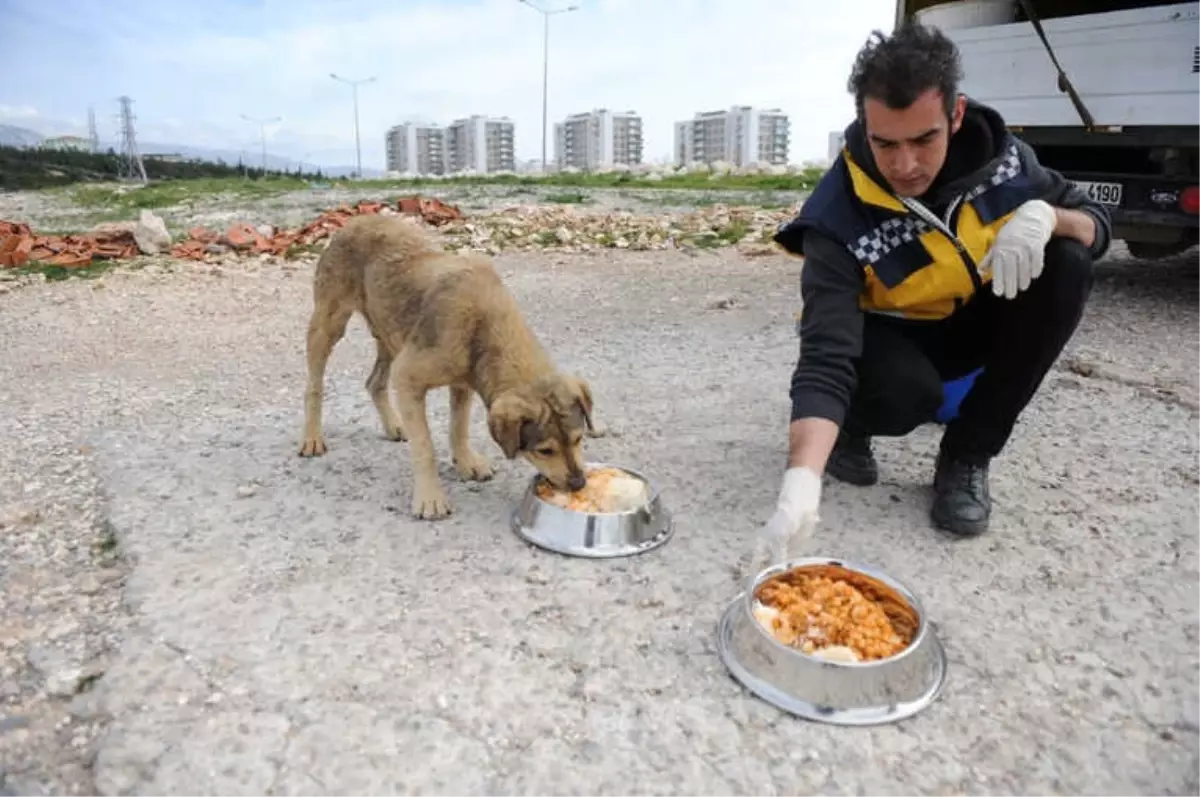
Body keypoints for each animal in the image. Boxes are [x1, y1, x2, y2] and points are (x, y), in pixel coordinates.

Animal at [296, 214, 595, 520]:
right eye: (545, 450)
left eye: (579, 439)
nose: (579, 483)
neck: (485, 325)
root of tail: (357, 219)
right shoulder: (408, 377)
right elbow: (425, 446)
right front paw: (430, 498)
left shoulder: (463, 383)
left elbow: (458, 427)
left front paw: (465, 462)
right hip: (329, 325)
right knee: (314, 386)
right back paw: (312, 437)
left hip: (391, 333)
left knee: (374, 382)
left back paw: (393, 425)